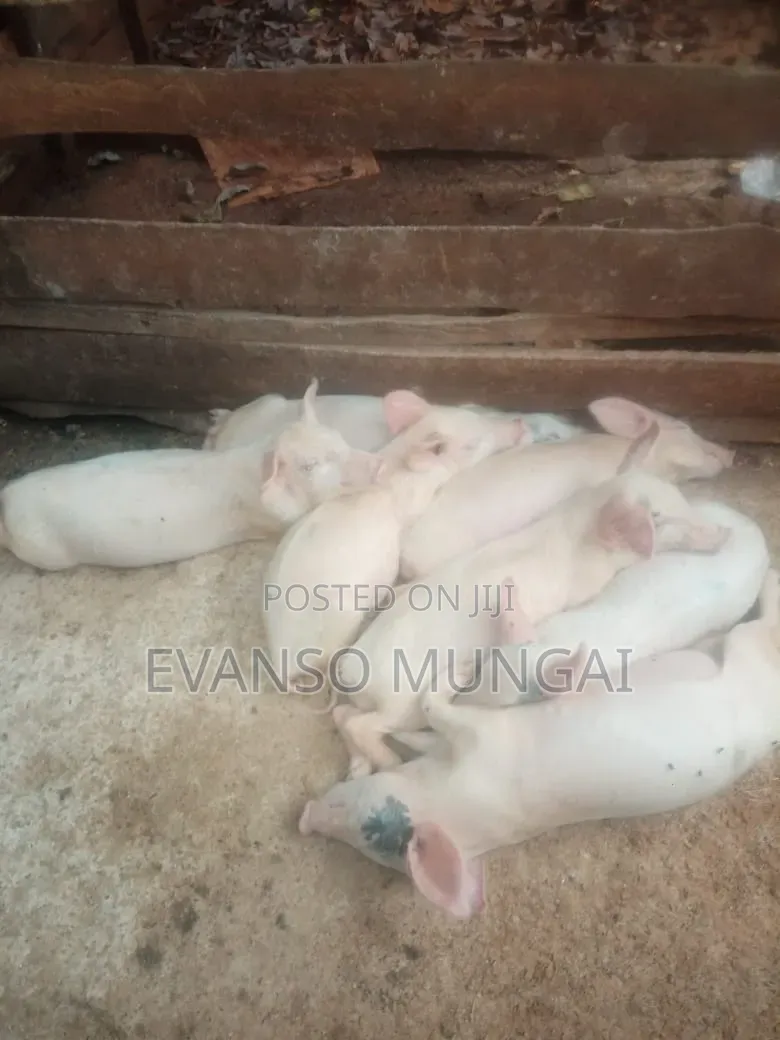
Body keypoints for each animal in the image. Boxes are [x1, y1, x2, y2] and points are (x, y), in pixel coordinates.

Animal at [0, 380, 380, 571]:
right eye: (309, 466)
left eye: (339, 439)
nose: (376, 464)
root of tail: (8, 497)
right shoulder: (272, 522)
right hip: (45, 551)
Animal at [300, 568, 780, 919]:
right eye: (364, 846)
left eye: (366, 825)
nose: (305, 819)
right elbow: (418, 735)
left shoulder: (482, 739)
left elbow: (438, 710)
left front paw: (458, 672)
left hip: (745, 646)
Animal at [333, 451, 730, 778]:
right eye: (662, 521)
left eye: (682, 500)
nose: (723, 533)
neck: (583, 530)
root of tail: (353, 668)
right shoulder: (583, 589)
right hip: (403, 699)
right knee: (362, 723)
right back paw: (390, 763)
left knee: (345, 716)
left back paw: (359, 768)